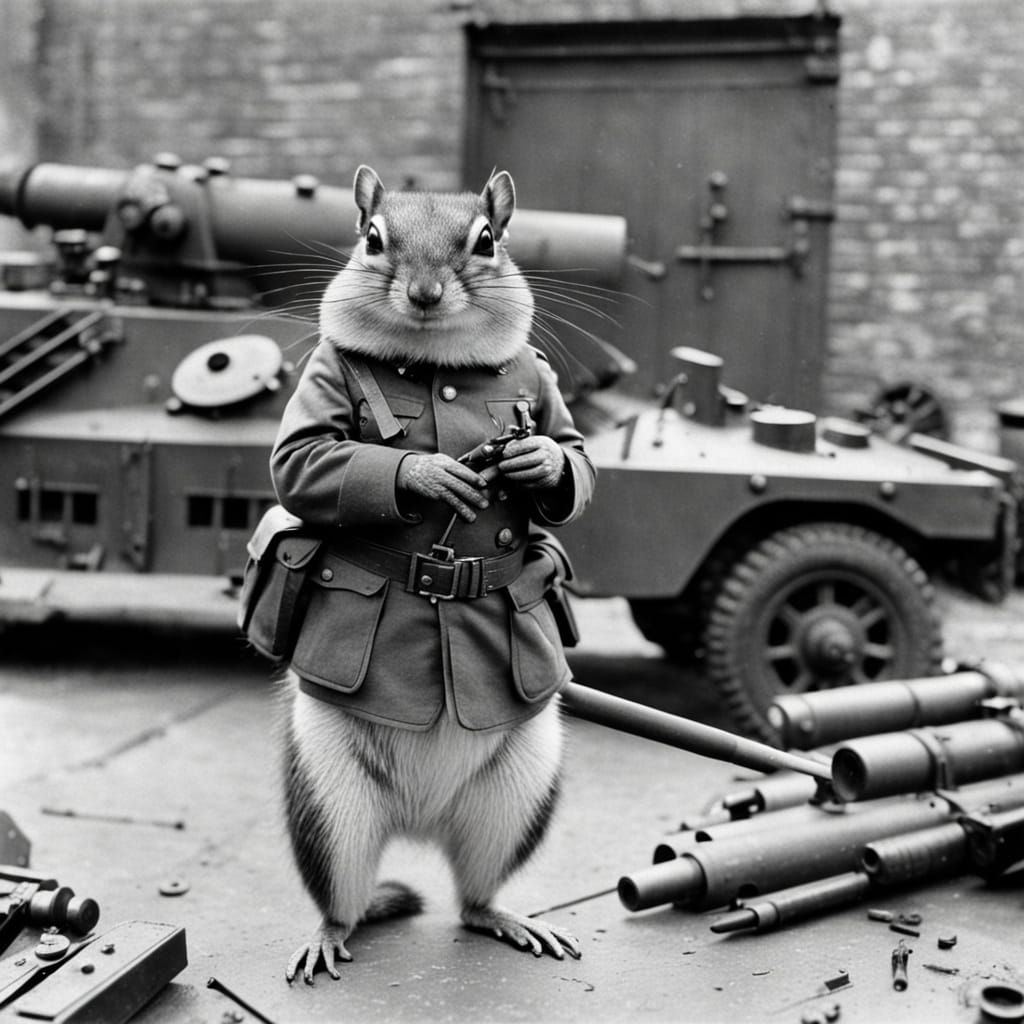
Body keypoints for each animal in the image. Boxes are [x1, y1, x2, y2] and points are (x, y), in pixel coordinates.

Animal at [271, 166, 596, 984]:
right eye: (371, 238)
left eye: (486, 240)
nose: (423, 292)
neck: (440, 364)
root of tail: (420, 820)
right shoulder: (317, 389)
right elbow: (303, 457)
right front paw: (428, 473)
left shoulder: (546, 392)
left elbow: (577, 454)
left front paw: (541, 459)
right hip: (329, 800)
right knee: (343, 898)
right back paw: (326, 935)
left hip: (516, 794)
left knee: (474, 897)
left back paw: (510, 919)